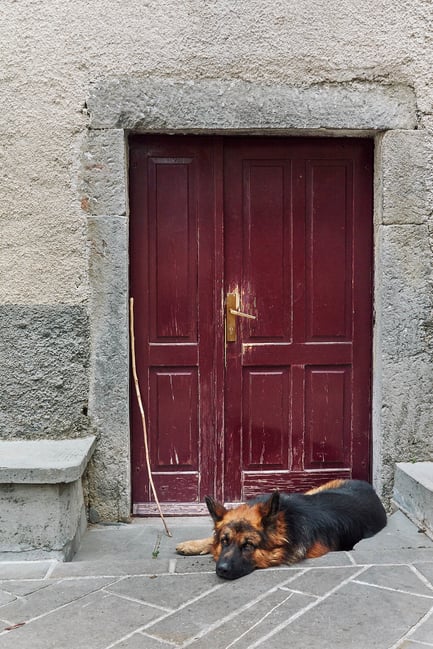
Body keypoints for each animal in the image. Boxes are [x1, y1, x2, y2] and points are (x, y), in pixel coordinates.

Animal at [177, 478, 386, 580]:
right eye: (224, 541)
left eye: (248, 546)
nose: (221, 569)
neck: (287, 523)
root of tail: (371, 489)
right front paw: (194, 545)